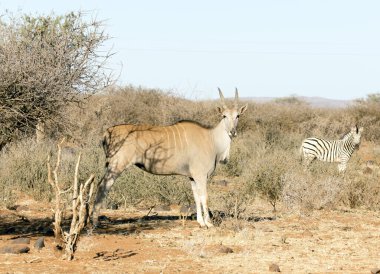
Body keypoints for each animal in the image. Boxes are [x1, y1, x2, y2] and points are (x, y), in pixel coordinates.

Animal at [93, 88, 248, 227]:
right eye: (224, 116)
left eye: (238, 116)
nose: (232, 132)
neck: (211, 138)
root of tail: (107, 132)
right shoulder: (201, 175)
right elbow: (204, 197)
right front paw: (208, 223)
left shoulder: (192, 177)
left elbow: (196, 197)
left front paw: (200, 222)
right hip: (116, 166)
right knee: (102, 186)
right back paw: (94, 222)